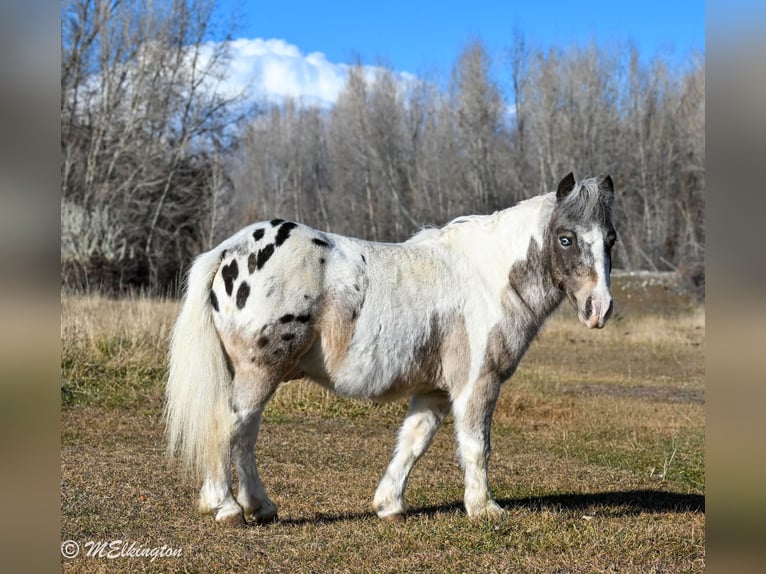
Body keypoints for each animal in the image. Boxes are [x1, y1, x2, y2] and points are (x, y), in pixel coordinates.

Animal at [165, 172, 617, 526]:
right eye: (565, 239)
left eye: (610, 239)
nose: (599, 308)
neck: (486, 278)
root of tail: (229, 249)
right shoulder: (477, 383)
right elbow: (476, 446)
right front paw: (484, 508)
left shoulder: (434, 391)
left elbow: (413, 442)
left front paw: (389, 504)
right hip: (259, 371)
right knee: (230, 427)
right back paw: (228, 507)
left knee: (242, 433)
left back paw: (253, 505)